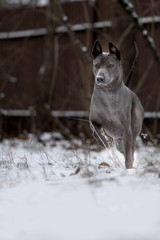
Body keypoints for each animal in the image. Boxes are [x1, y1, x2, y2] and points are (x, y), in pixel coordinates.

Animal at [89, 40, 144, 169]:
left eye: (110, 65)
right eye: (97, 65)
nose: (99, 78)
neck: (108, 93)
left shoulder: (127, 131)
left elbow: (129, 153)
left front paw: (129, 168)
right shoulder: (93, 121)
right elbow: (96, 133)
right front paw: (104, 142)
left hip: (132, 131)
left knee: (130, 149)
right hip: (119, 140)